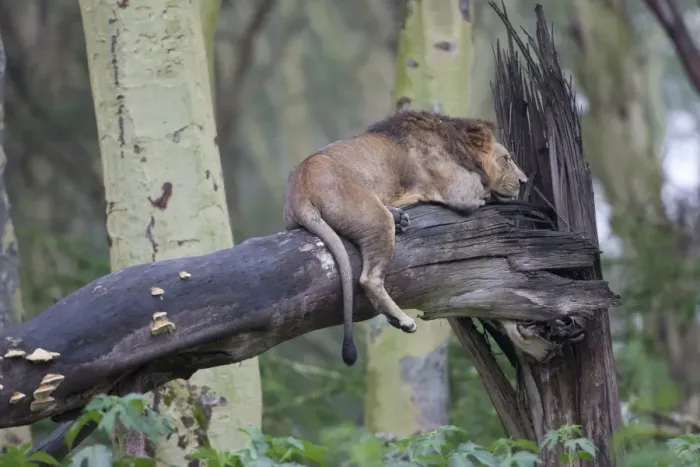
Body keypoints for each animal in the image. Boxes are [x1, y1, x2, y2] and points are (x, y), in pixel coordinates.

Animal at [283, 109, 527, 365]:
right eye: (507, 158)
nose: (524, 181)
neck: (455, 143)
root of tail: (298, 189)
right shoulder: (461, 192)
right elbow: (484, 194)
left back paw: (399, 217)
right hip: (374, 219)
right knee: (369, 279)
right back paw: (402, 319)